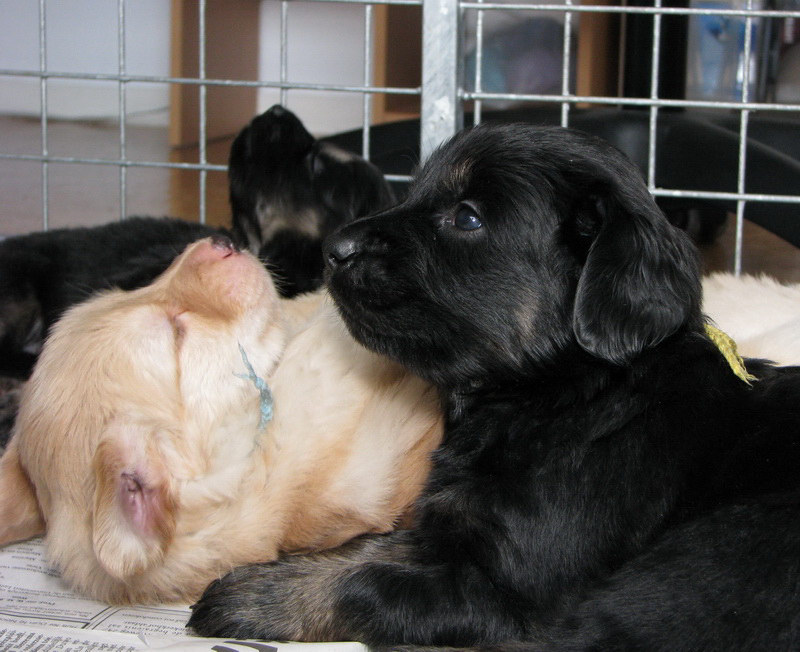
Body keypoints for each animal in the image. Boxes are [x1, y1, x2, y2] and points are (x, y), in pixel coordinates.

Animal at [189, 123, 800, 649]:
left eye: (467, 218)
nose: (332, 249)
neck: (572, 396)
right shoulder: (447, 525)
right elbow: (367, 548)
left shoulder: (506, 589)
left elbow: (369, 584)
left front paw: (253, 599)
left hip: (713, 559)